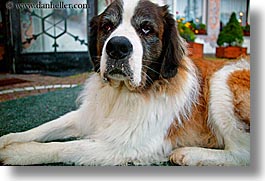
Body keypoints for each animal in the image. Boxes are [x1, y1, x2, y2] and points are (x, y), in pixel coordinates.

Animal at [0, 0, 249, 165]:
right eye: (107, 27)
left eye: (146, 29)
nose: (117, 47)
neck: (121, 94)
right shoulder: (88, 115)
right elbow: (47, 127)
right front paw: (8, 140)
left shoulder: (127, 146)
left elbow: (66, 147)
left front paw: (19, 152)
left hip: (222, 80)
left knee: (241, 154)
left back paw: (188, 154)